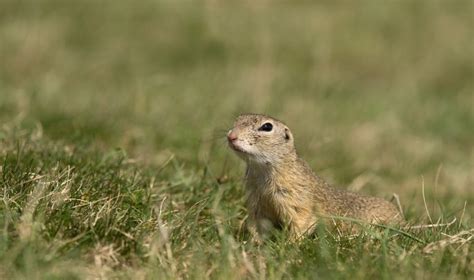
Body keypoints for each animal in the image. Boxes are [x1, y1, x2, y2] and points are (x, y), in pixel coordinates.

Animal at [228, 114, 402, 241]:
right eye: (237, 120)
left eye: (267, 127)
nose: (231, 136)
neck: (262, 172)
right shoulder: (256, 201)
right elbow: (257, 225)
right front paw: (253, 243)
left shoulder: (296, 200)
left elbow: (301, 222)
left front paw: (289, 245)